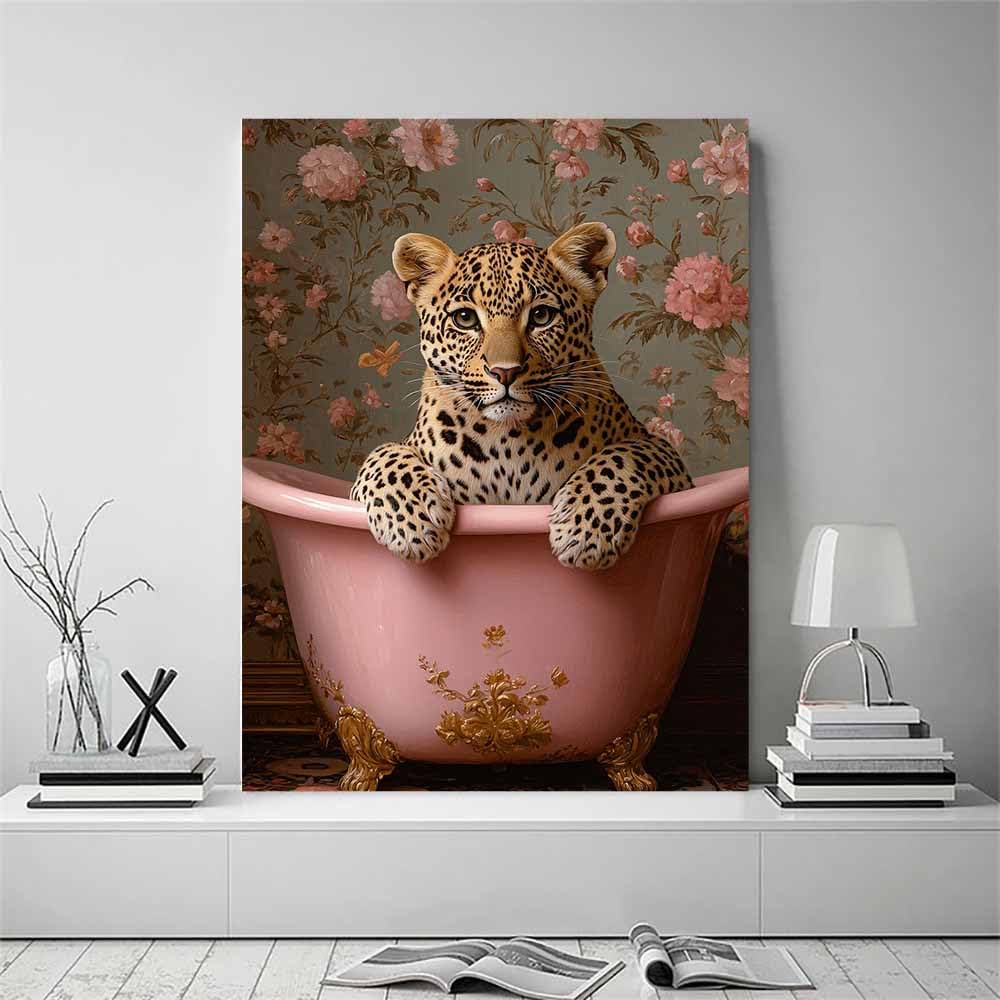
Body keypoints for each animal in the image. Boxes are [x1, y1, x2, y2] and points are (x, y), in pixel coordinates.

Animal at [350, 220, 693, 570]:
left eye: (541, 316)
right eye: (465, 319)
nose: (505, 372)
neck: (506, 441)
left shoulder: (662, 453)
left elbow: (621, 459)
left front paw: (585, 530)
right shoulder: (400, 450)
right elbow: (383, 454)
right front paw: (411, 524)